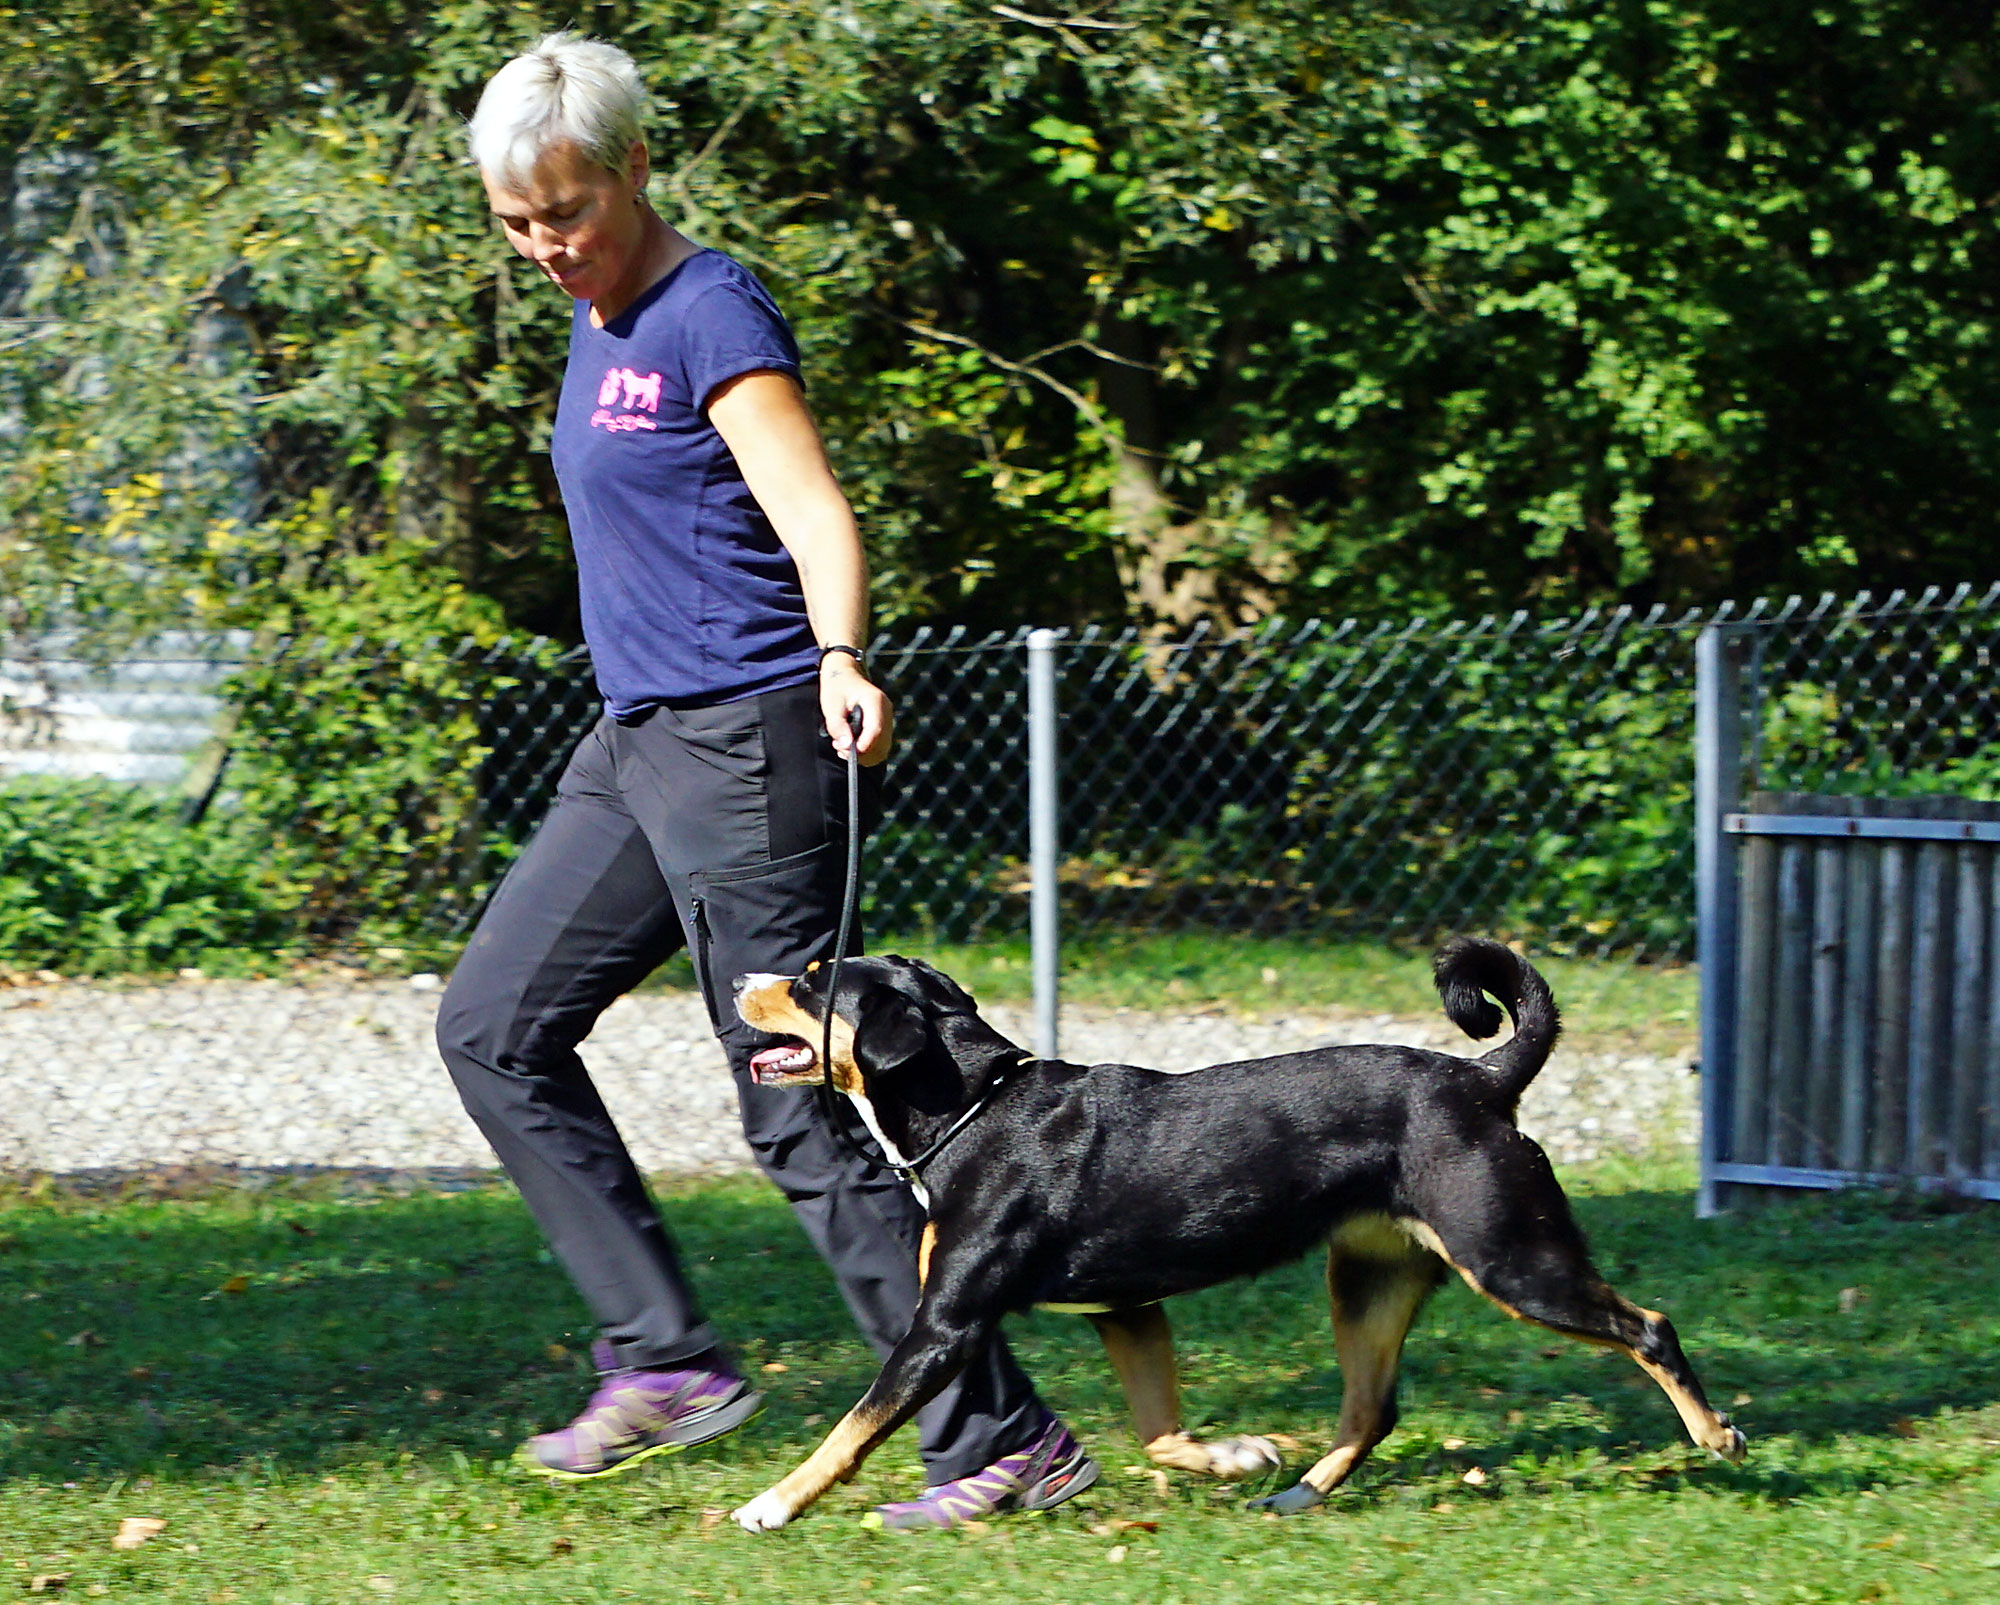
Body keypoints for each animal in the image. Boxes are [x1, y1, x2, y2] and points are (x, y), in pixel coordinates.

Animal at [728, 936, 1744, 1528]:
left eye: (813, 984)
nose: (739, 976)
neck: (973, 1107)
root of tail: (1485, 1080)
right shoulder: (1127, 1310)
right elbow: (1158, 1434)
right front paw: (1235, 1454)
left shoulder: (945, 1326)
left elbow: (849, 1430)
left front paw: (771, 1503)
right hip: (1368, 1280)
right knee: (1373, 1408)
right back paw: (1294, 1490)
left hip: (1513, 1259)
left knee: (1649, 1326)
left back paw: (1716, 1436)